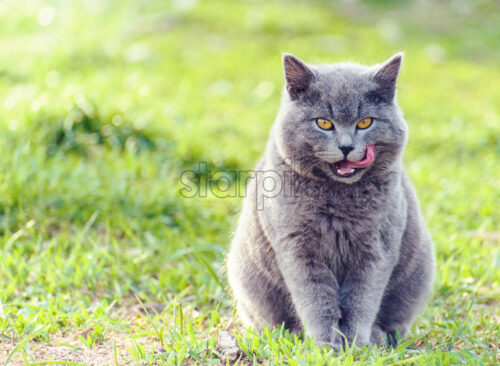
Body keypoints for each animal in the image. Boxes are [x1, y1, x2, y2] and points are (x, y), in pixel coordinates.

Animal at [227, 52, 434, 348]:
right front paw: (327, 346)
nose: (346, 147)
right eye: (324, 123)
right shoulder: (298, 249)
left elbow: (361, 300)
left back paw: (379, 337)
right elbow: (317, 302)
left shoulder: (376, 249)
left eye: (365, 122)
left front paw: (356, 345)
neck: (338, 198)